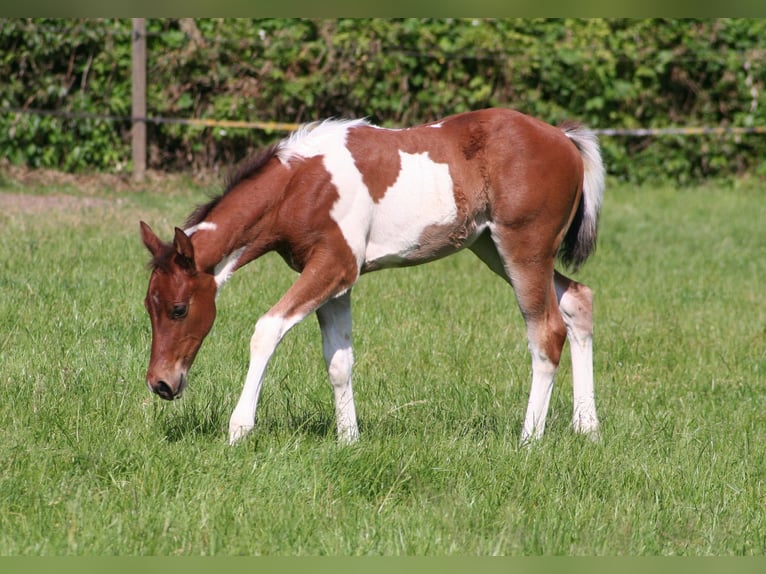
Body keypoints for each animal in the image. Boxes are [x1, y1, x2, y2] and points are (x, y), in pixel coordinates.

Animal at [140, 108, 605, 445]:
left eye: (179, 309)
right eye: (149, 306)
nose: (161, 383)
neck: (299, 186)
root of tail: (562, 137)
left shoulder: (335, 265)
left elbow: (266, 329)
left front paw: (239, 429)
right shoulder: (334, 281)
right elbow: (339, 360)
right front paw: (349, 440)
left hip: (524, 248)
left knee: (546, 331)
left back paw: (529, 439)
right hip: (493, 247)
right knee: (577, 299)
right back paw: (587, 427)